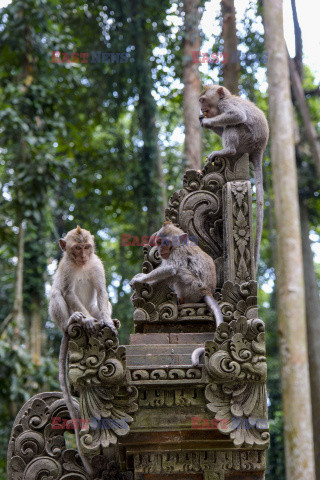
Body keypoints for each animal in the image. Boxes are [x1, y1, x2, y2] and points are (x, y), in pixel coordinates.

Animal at [50, 226, 119, 476]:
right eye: (76, 248)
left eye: (87, 247)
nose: (82, 256)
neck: (80, 265)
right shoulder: (67, 268)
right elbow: (68, 292)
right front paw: (88, 321)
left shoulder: (96, 264)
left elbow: (101, 291)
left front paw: (106, 321)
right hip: (64, 321)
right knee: (57, 294)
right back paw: (75, 320)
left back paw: (107, 320)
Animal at [199, 85, 268, 270]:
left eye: (203, 100)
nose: (202, 109)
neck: (224, 98)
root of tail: (259, 149)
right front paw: (202, 120)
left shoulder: (225, 105)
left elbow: (237, 116)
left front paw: (207, 122)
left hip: (247, 140)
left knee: (234, 126)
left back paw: (227, 151)